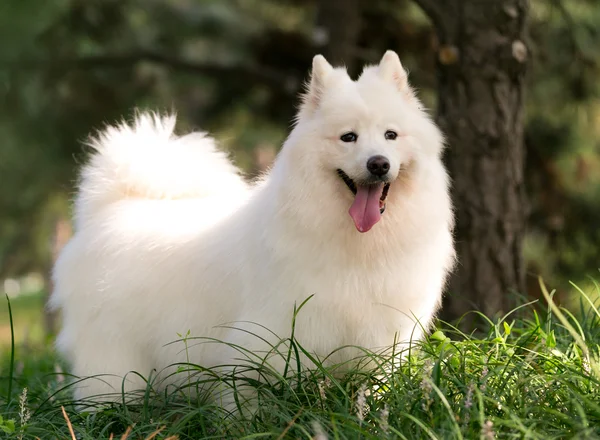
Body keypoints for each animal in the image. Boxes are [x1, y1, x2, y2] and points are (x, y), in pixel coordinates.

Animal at [50, 50, 454, 402]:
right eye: (348, 137)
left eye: (391, 135)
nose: (378, 164)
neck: (358, 244)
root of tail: (114, 205)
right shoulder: (271, 338)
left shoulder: (380, 341)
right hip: (115, 358)